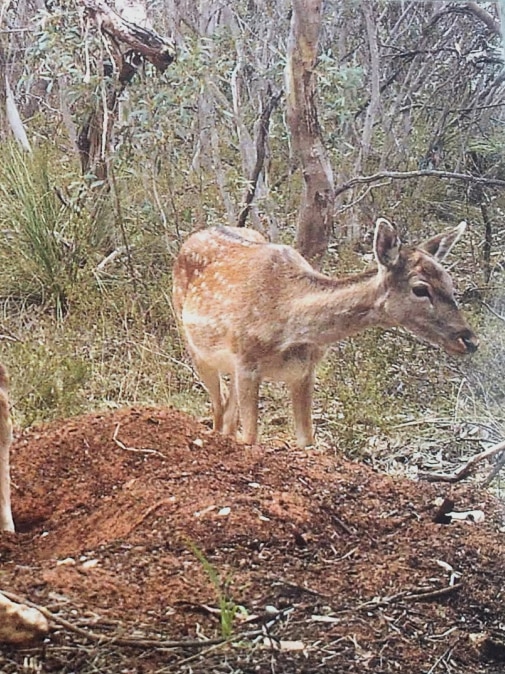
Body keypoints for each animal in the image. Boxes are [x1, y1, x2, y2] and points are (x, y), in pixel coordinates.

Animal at [172, 218, 479, 448]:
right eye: (420, 289)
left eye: (450, 282)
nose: (469, 339)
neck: (288, 324)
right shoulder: (247, 361)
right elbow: (250, 438)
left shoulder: (304, 371)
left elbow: (306, 442)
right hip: (192, 342)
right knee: (218, 406)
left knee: (227, 409)